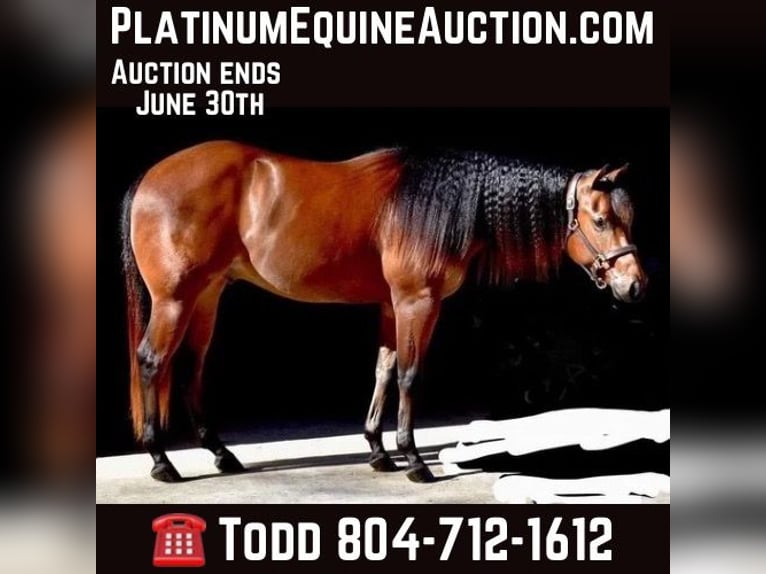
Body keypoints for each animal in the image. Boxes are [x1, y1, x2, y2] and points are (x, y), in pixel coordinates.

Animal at [121, 142, 647, 483]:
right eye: (601, 220)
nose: (635, 284)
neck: (440, 206)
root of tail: (148, 178)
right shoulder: (418, 302)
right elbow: (411, 375)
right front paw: (413, 460)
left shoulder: (392, 307)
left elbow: (384, 369)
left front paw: (378, 450)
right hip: (174, 299)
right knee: (152, 361)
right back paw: (161, 461)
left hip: (207, 296)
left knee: (191, 365)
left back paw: (220, 452)